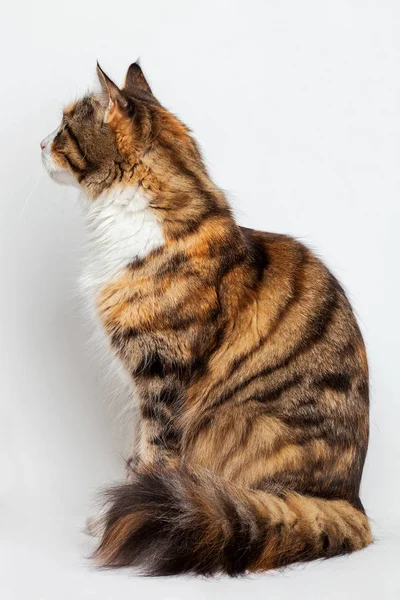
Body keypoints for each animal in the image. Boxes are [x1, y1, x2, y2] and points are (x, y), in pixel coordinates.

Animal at [40, 62, 372, 576]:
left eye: (64, 128)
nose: (38, 145)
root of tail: (349, 502)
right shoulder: (145, 385)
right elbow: (138, 453)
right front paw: (122, 508)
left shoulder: (162, 375)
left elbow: (153, 455)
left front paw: (128, 510)